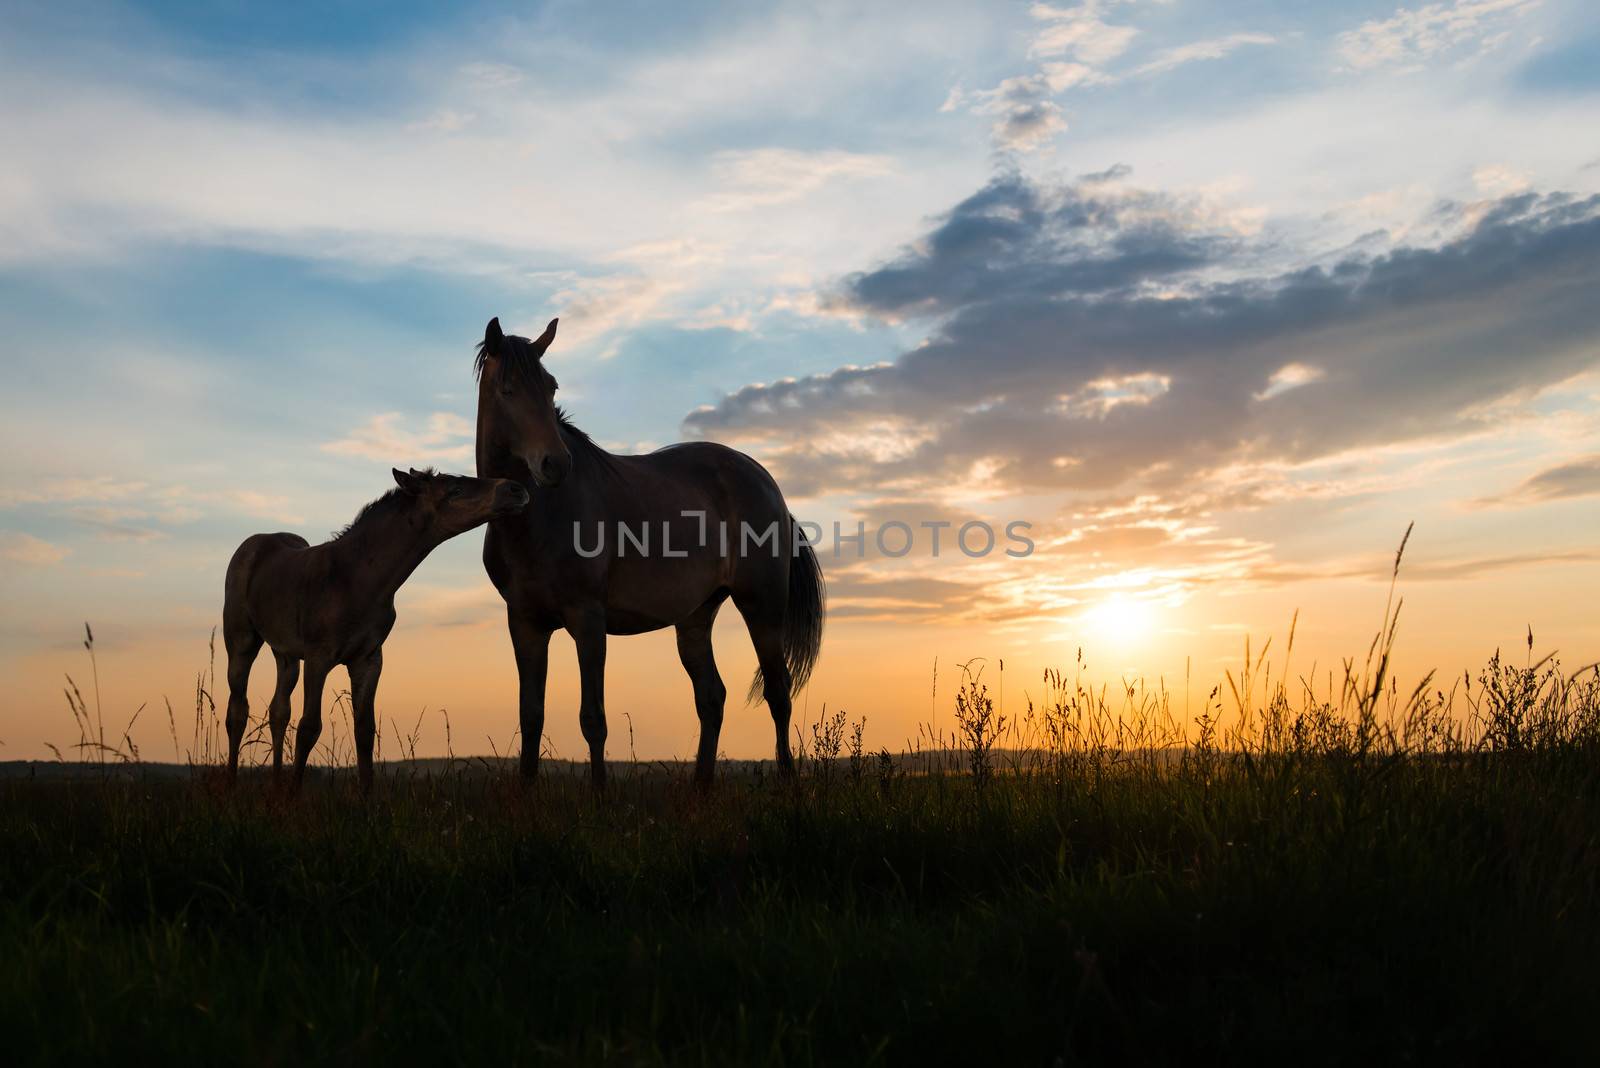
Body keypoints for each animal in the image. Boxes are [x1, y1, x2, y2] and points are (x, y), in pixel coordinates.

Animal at [222, 470, 531, 789]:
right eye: (455, 489)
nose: (516, 489)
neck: (358, 580)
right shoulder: (318, 657)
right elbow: (309, 726)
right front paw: (293, 795)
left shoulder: (368, 658)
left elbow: (365, 730)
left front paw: (365, 797)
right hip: (241, 640)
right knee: (237, 710)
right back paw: (231, 785)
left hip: (285, 653)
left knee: (278, 710)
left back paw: (274, 785)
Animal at [470, 314, 825, 783]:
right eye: (507, 390)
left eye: (551, 387)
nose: (555, 464)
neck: (536, 519)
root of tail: (768, 484)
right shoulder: (524, 624)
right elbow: (531, 717)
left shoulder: (587, 619)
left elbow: (593, 719)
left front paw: (600, 796)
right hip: (696, 617)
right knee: (711, 697)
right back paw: (701, 789)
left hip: (761, 608)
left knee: (778, 693)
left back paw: (788, 784)